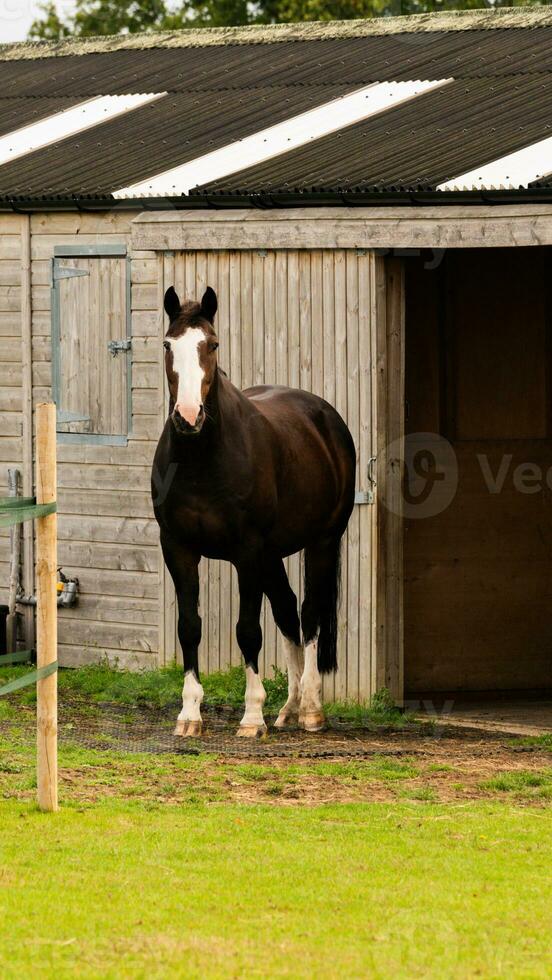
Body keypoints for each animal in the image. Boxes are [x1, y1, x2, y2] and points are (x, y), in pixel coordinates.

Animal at [153, 288, 356, 740]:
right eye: (168, 345)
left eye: (212, 345)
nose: (188, 416)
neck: (202, 461)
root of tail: (325, 416)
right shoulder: (178, 548)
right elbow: (189, 627)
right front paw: (189, 714)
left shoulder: (246, 553)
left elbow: (248, 631)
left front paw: (251, 716)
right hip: (273, 555)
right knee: (287, 611)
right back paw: (289, 708)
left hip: (321, 542)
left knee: (310, 615)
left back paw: (311, 710)